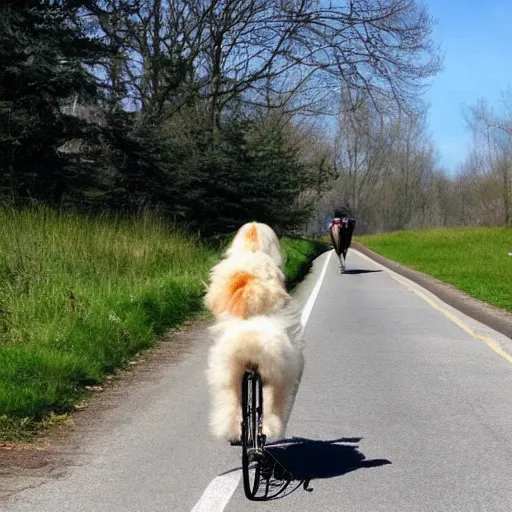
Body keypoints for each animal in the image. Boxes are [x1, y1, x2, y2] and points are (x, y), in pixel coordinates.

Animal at [204, 222, 304, 442]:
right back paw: (268, 430)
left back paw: (234, 433)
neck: (251, 251)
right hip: (277, 377)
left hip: (228, 379)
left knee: (232, 409)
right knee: (269, 407)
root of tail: (250, 341)